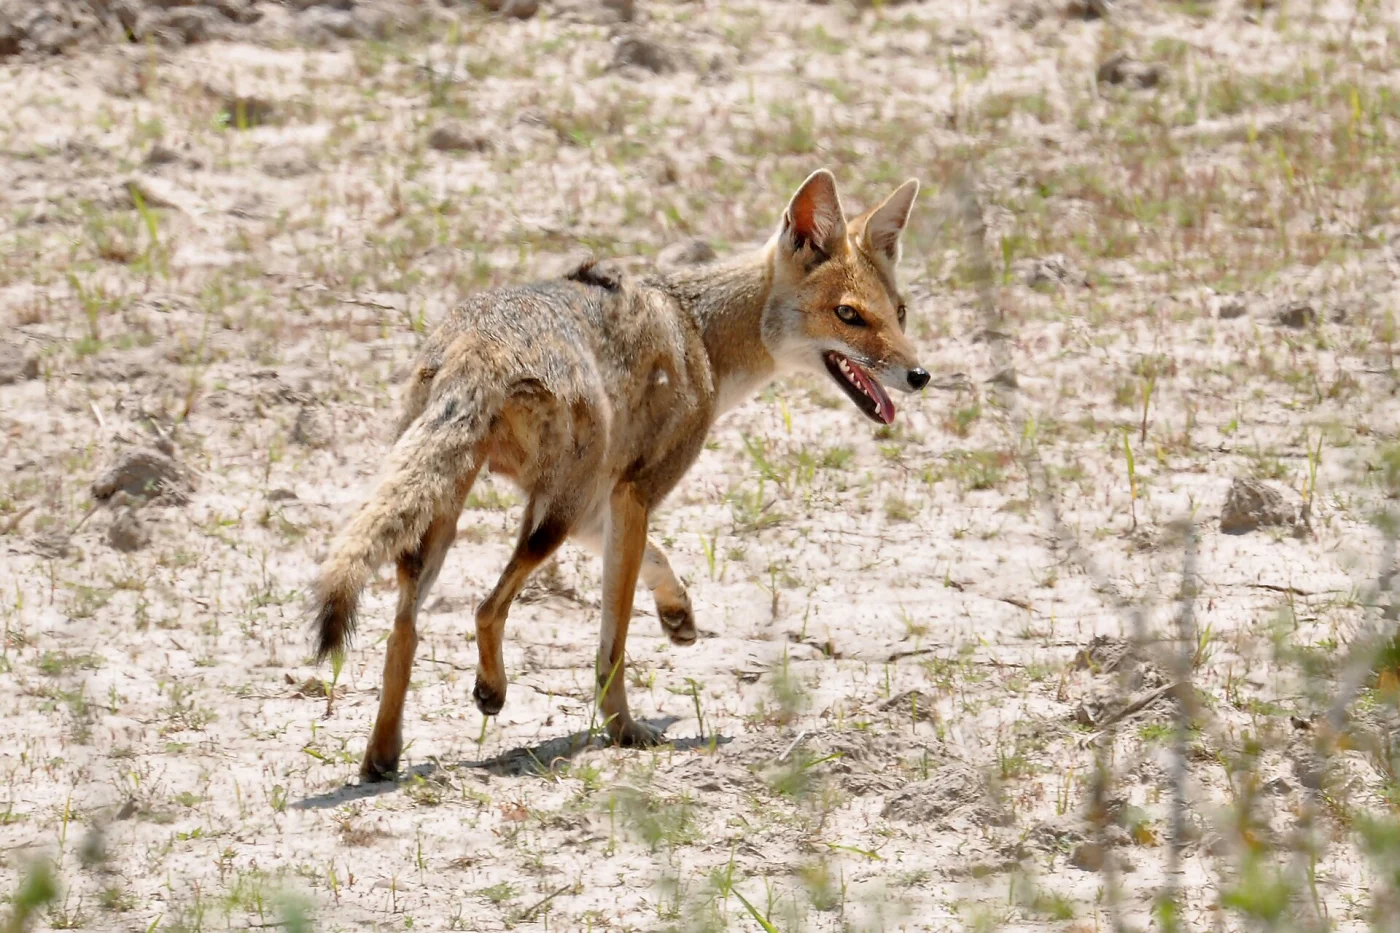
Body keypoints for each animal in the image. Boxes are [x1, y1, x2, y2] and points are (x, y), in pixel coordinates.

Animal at [311, 169, 930, 782]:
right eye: (849, 315)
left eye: (899, 313)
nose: (920, 375)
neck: (701, 335)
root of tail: (478, 343)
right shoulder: (633, 494)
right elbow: (613, 643)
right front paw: (624, 729)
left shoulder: (603, 504)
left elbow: (659, 561)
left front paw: (678, 614)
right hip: (548, 519)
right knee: (486, 608)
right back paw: (491, 692)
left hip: (457, 520)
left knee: (403, 633)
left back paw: (382, 756)